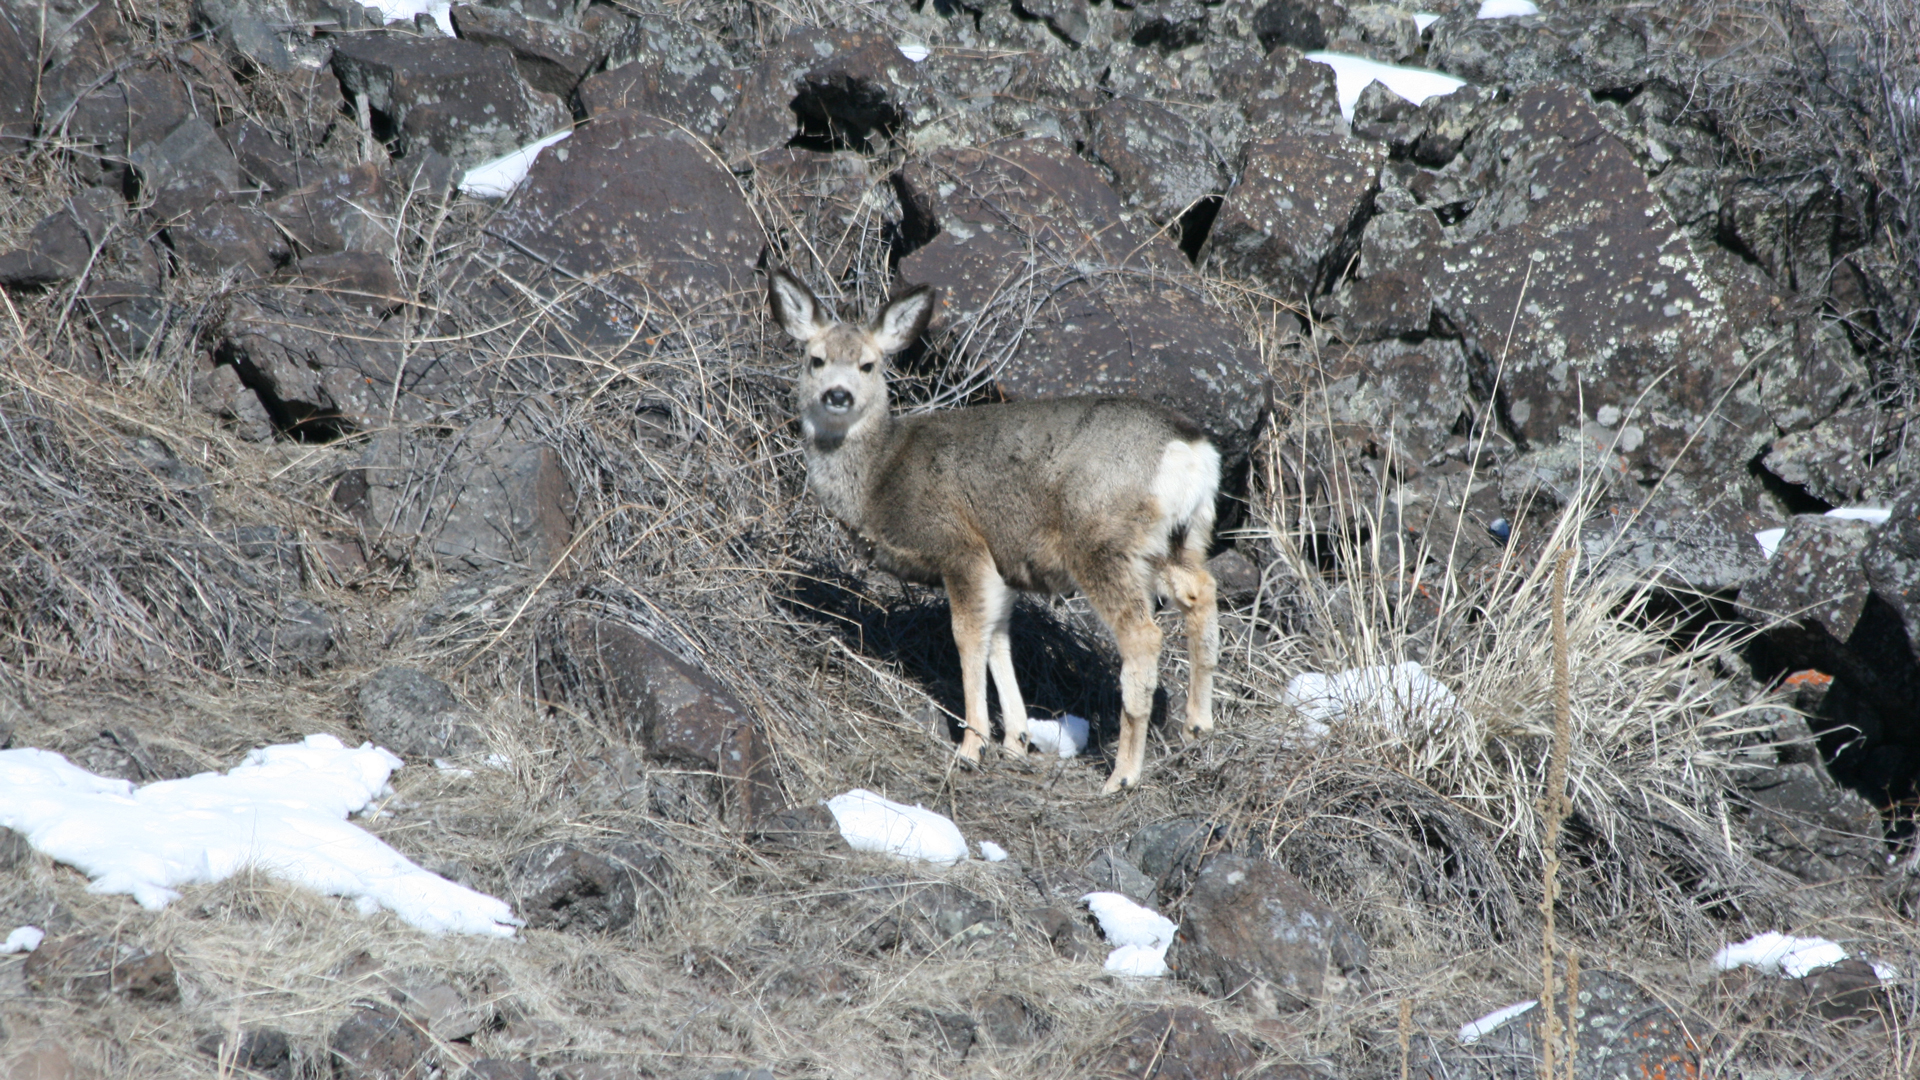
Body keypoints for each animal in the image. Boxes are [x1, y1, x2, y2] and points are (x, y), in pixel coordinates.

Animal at [768, 269, 1228, 791]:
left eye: (868, 364)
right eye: (815, 359)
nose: (837, 395)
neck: (880, 475)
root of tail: (1190, 451)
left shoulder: (960, 545)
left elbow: (968, 636)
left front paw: (973, 746)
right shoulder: (1002, 565)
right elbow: (998, 638)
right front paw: (1016, 740)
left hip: (1102, 540)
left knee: (1143, 636)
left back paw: (1123, 775)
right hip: (1181, 539)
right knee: (1201, 592)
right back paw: (1198, 728)